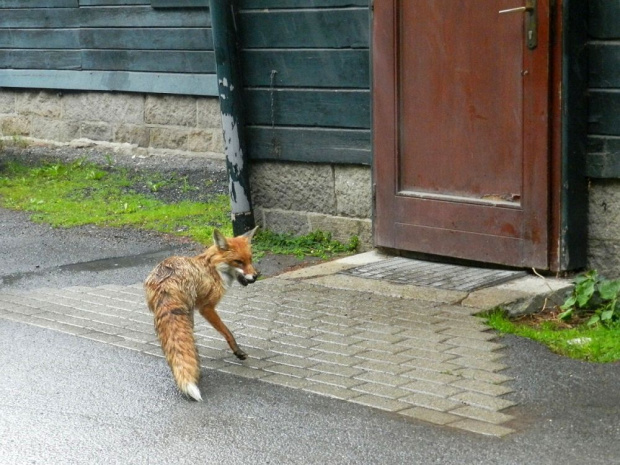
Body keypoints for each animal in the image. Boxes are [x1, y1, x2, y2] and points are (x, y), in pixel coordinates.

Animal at [145, 225, 260, 398]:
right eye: (238, 262)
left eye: (250, 259)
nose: (255, 276)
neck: (214, 268)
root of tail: (166, 282)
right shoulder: (206, 307)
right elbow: (227, 333)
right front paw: (237, 351)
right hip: (188, 312)